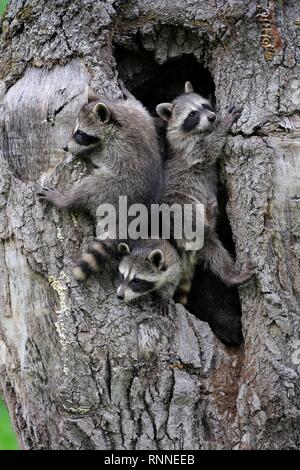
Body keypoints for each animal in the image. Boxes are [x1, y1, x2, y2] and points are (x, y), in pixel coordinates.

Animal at [39, 86, 164, 280]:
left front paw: (85, 152)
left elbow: (100, 156)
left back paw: (65, 200)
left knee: (88, 187)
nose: (65, 148)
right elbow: (139, 106)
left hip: (114, 188)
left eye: (80, 134)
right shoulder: (138, 116)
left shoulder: (120, 148)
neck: (116, 120)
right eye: (75, 130)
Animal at [156, 80, 254, 302]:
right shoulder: (189, 149)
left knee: (214, 252)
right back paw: (207, 222)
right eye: (192, 114)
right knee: (185, 214)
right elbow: (208, 149)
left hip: (204, 243)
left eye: (204, 106)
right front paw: (223, 125)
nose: (212, 117)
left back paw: (231, 274)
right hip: (176, 204)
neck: (200, 131)